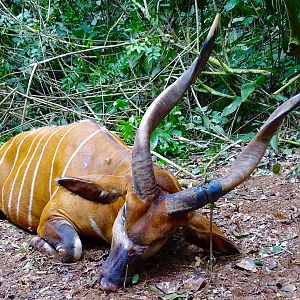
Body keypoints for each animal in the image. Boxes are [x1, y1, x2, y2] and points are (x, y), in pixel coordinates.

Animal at [0, 15, 300, 292]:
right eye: (124, 214)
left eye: (161, 237)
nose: (108, 281)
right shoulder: (52, 214)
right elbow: (73, 247)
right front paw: (36, 241)